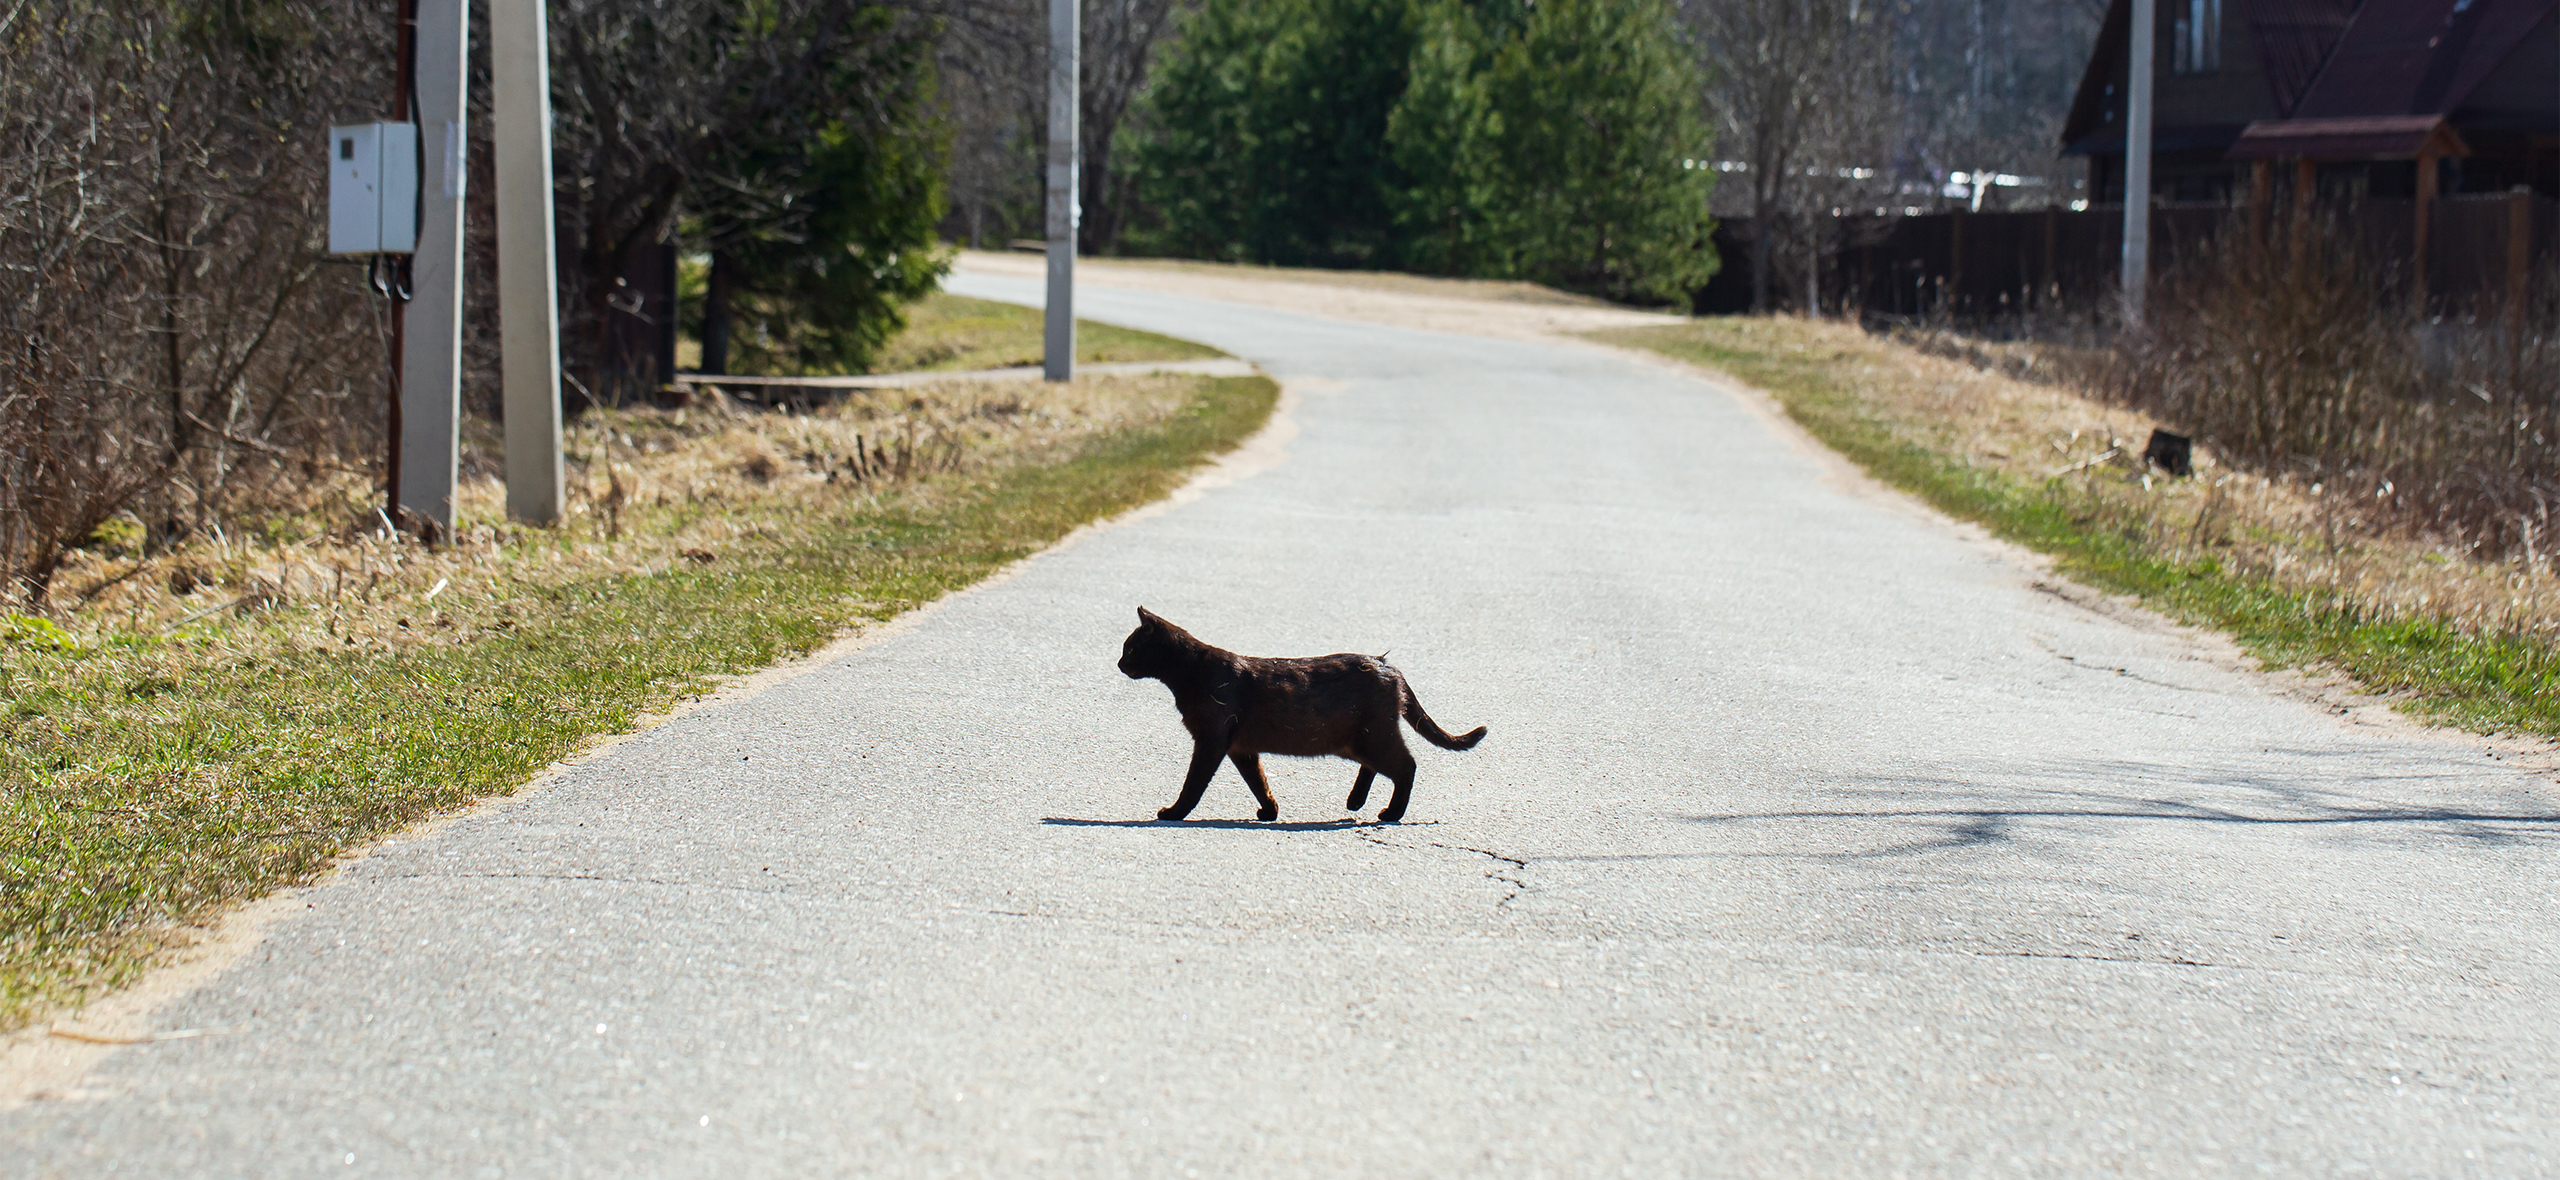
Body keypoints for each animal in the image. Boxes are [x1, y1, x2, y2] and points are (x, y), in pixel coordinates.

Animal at [1116, 606, 1495, 819]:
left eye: (1130, 648)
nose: (1119, 663)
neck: (1189, 672)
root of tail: (1387, 665)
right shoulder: (1240, 748)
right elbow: (1259, 782)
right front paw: (1269, 811)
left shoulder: (1211, 741)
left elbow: (1193, 783)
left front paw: (1173, 813)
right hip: (1358, 740)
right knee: (1377, 766)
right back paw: (1355, 802)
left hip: (1371, 737)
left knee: (1407, 766)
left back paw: (1390, 813)